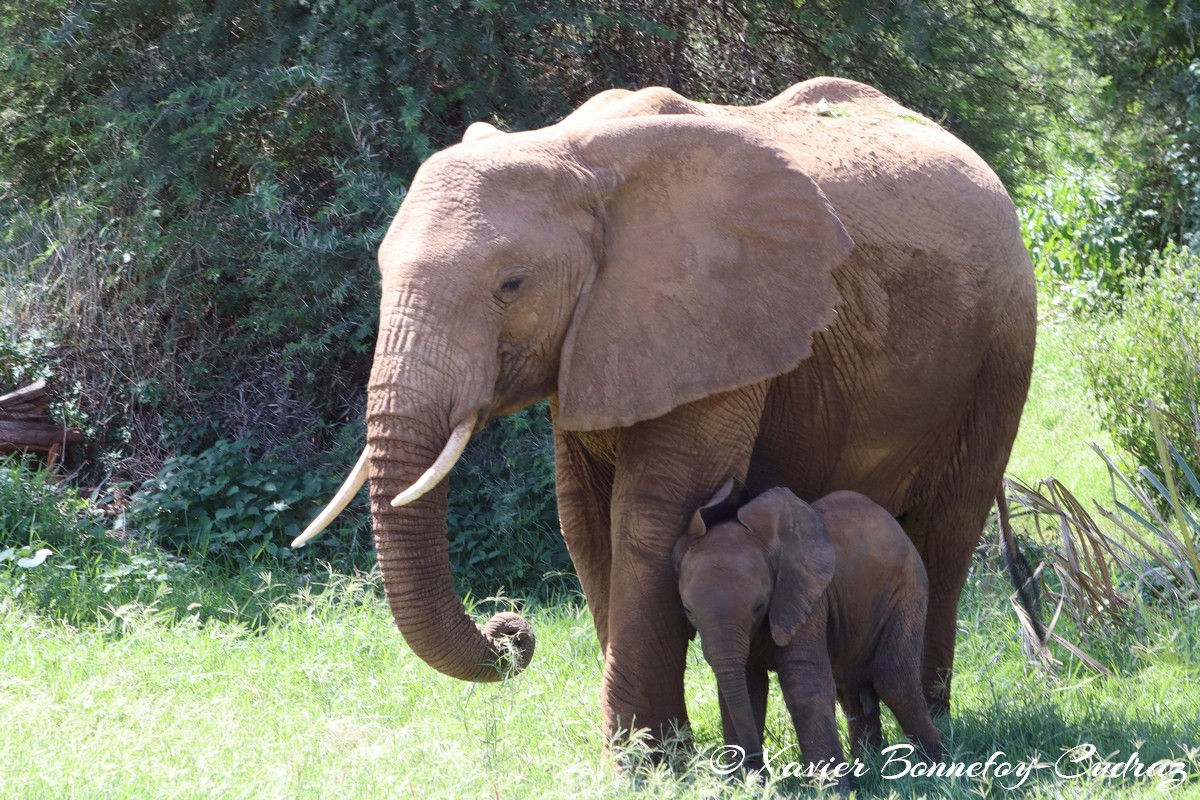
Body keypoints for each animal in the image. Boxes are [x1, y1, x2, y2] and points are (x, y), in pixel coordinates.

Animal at [295, 77, 1036, 748]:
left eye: (511, 285)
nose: (511, 629)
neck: (574, 153)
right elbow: (585, 522)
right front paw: (649, 755)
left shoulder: (720, 319)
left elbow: (647, 517)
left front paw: (649, 763)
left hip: (1001, 348)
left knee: (947, 528)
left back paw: (932, 720)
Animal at [672, 482, 940, 786]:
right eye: (688, 611)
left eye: (759, 607)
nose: (756, 767)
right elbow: (748, 689)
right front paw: (745, 785)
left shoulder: (806, 597)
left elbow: (804, 684)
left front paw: (831, 790)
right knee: (852, 693)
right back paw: (870, 765)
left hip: (908, 590)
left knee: (895, 681)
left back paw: (932, 769)